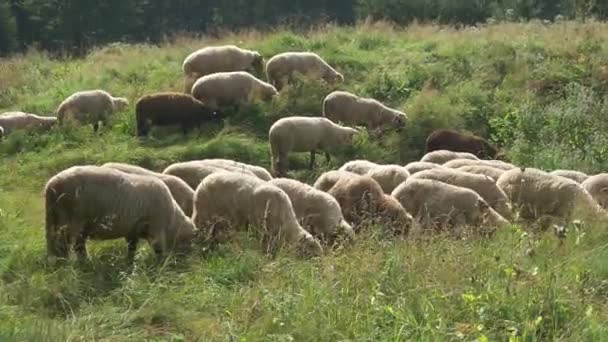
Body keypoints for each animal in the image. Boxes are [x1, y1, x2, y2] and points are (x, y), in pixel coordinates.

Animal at [45, 167, 197, 260]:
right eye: (190, 243)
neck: (172, 219)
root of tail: (51, 185)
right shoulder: (156, 227)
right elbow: (158, 248)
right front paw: (160, 263)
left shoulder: (133, 229)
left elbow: (132, 247)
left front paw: (130, 261)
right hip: (72, 221)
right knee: (68, 245)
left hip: (58, 219)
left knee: (67, 244)